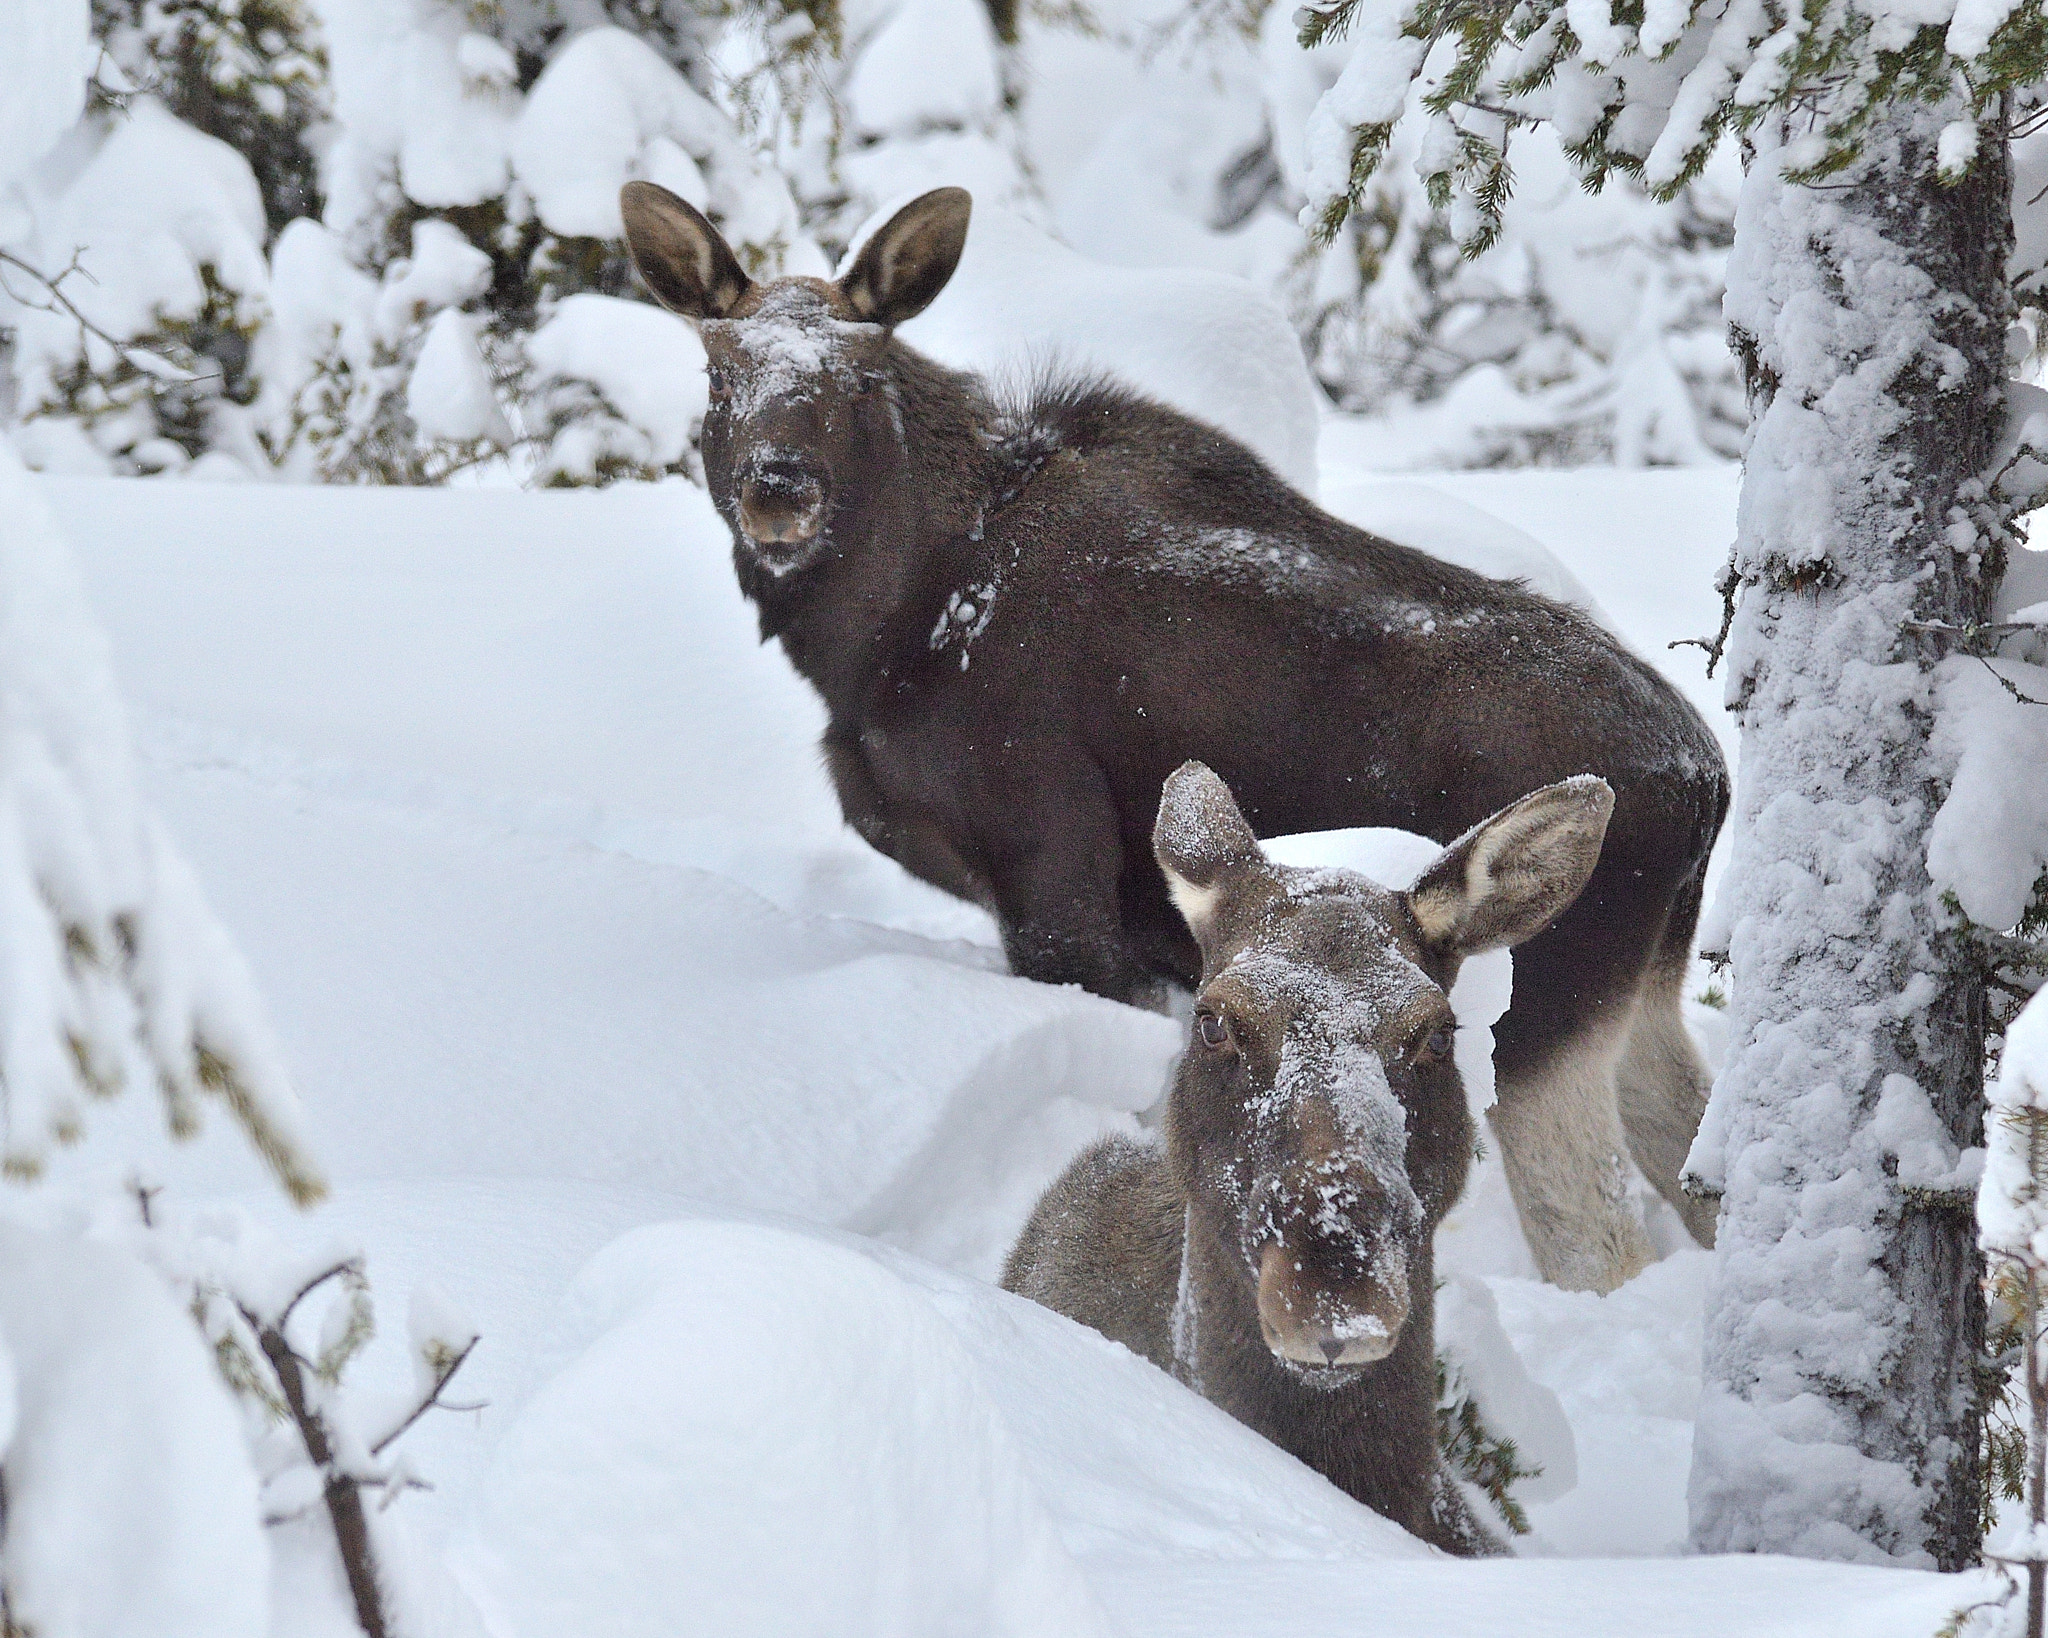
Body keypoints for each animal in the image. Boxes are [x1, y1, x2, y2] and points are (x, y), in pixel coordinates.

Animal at [617, 180, 1730, 1295]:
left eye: (856, 376)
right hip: (1643, 992)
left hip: (1541, 1008)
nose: (779, 487)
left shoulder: (1053, 878)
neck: (884, 632)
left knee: (1599, 1239)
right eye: (718, 370)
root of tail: (1705, 779)